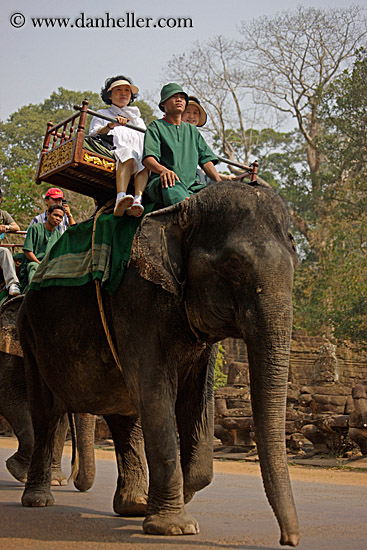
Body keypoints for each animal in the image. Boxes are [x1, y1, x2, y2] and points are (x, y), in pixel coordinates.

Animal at [15, 184, 300, 548]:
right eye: (233, 264)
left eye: (294, 263)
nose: (289, 539)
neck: (182, 210)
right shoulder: (135, 297)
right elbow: (155, 388)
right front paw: (175, 527)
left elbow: (196, 399)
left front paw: (173, 500)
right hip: (29, 335)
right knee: (46, 414)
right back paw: (38, 500)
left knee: (122, 416)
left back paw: (133, 506)